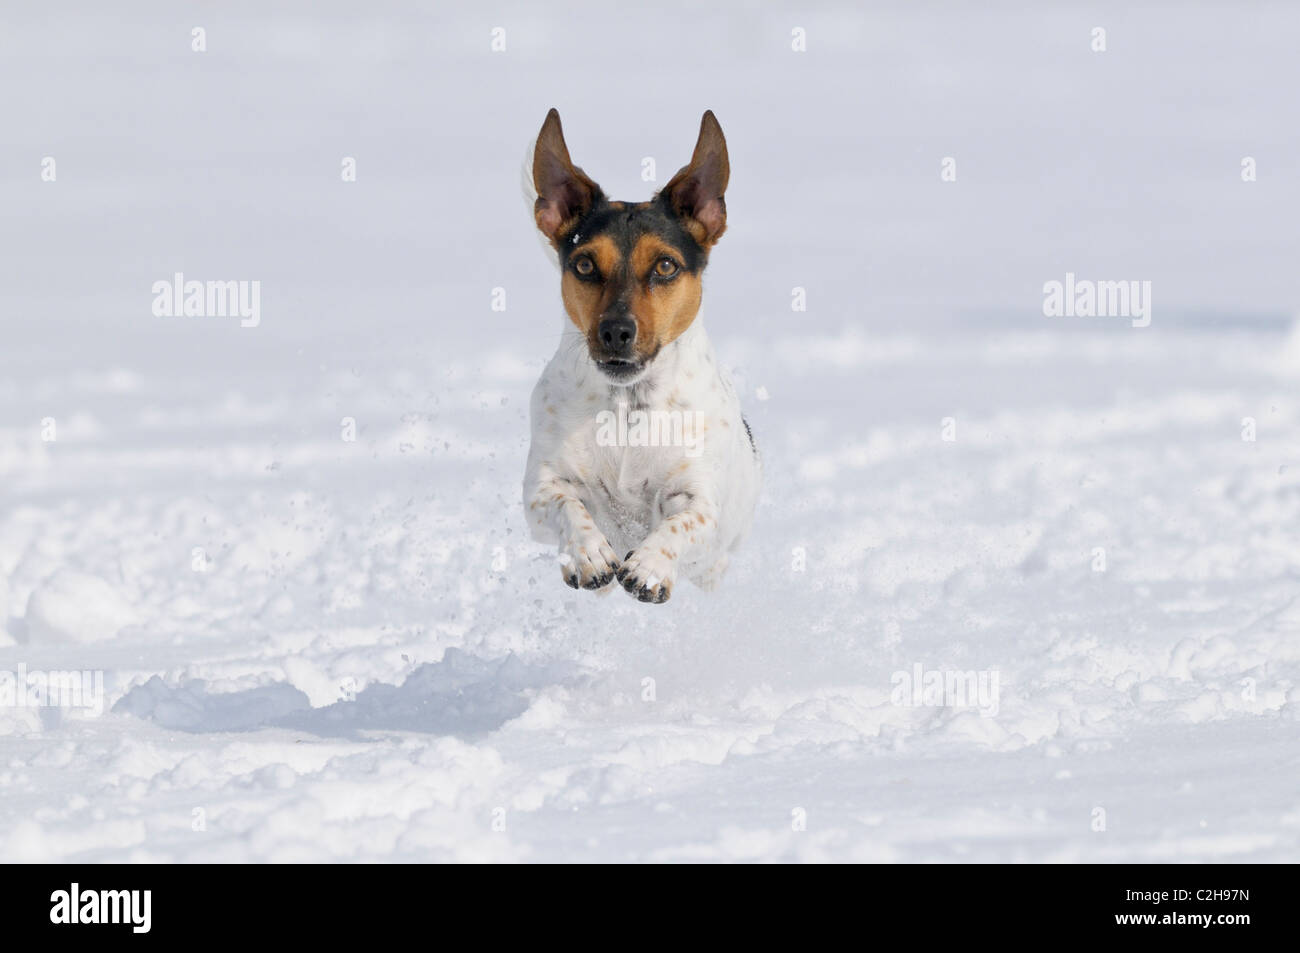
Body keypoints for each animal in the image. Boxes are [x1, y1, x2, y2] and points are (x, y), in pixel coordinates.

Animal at [520, 109, 759, 603]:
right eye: (584, 265)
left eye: (665, 265)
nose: (615, 331)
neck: (628, 405)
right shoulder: (541, 487)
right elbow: (567, 504)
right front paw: (589, 552)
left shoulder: (699, 498)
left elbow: (682, 522)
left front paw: (649, 565)